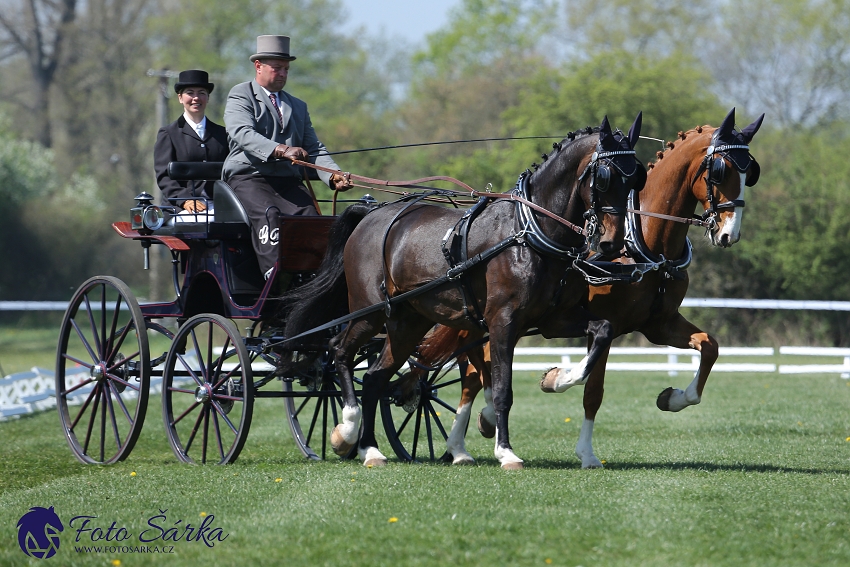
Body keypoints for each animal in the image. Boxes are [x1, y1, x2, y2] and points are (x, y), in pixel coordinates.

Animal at [278, 114, 644, 470]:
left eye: (637, 179)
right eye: (605, 177)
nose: (612, 244)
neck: (528, 232)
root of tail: (370, 214)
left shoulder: (555, 319)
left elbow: (602, 331)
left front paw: (560, 378)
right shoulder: (503, 322)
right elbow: (502, 389)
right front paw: (506, 452)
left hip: (407, 323)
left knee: (373, 378)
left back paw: (371, 449)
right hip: (370, 312)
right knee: (339, 351)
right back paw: (348, 429)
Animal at [416, 108, 760, 468]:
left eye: (750, 172)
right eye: (720, 170)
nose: (728, 233)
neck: (642, 244)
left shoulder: (659, 325)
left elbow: (710, 346)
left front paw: (675, 398)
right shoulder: (587, 322)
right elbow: (593, 392)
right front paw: (583, 443)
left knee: (473, 370)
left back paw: (465, 440)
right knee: (471, 372)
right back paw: (463, 442)